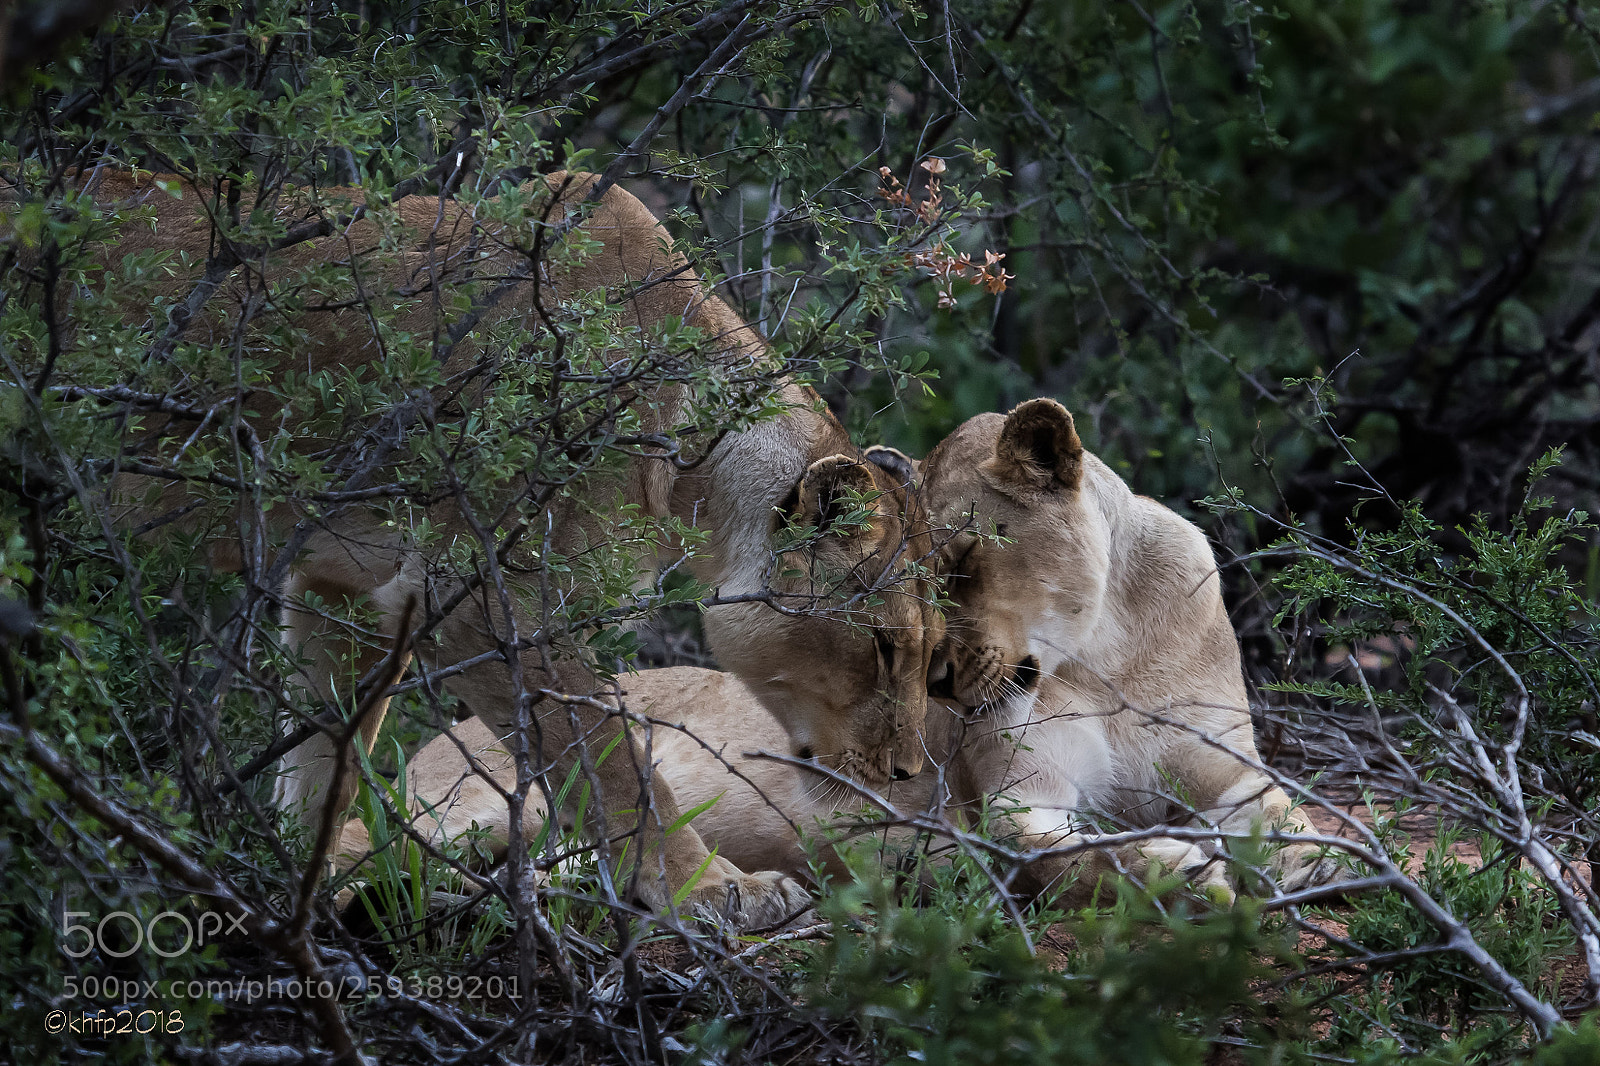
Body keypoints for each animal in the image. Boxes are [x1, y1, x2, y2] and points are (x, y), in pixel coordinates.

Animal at [34, 169, 941, 927]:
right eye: (884, 646)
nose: (905, 776)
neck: (696, 462)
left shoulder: (342, 584)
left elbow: (330, 757)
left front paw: (309, 886)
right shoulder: (482, 596)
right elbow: (611, 759)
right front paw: (714, 890)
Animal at [917, 398, 1338, 900]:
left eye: (962, 558)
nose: (934, 683)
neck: (1106, 654)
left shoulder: (1225, 765)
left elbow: (1276, 810)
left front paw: (1309, 860)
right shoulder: (1016, 800)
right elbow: (1065, 862)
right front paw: (1181, 877)